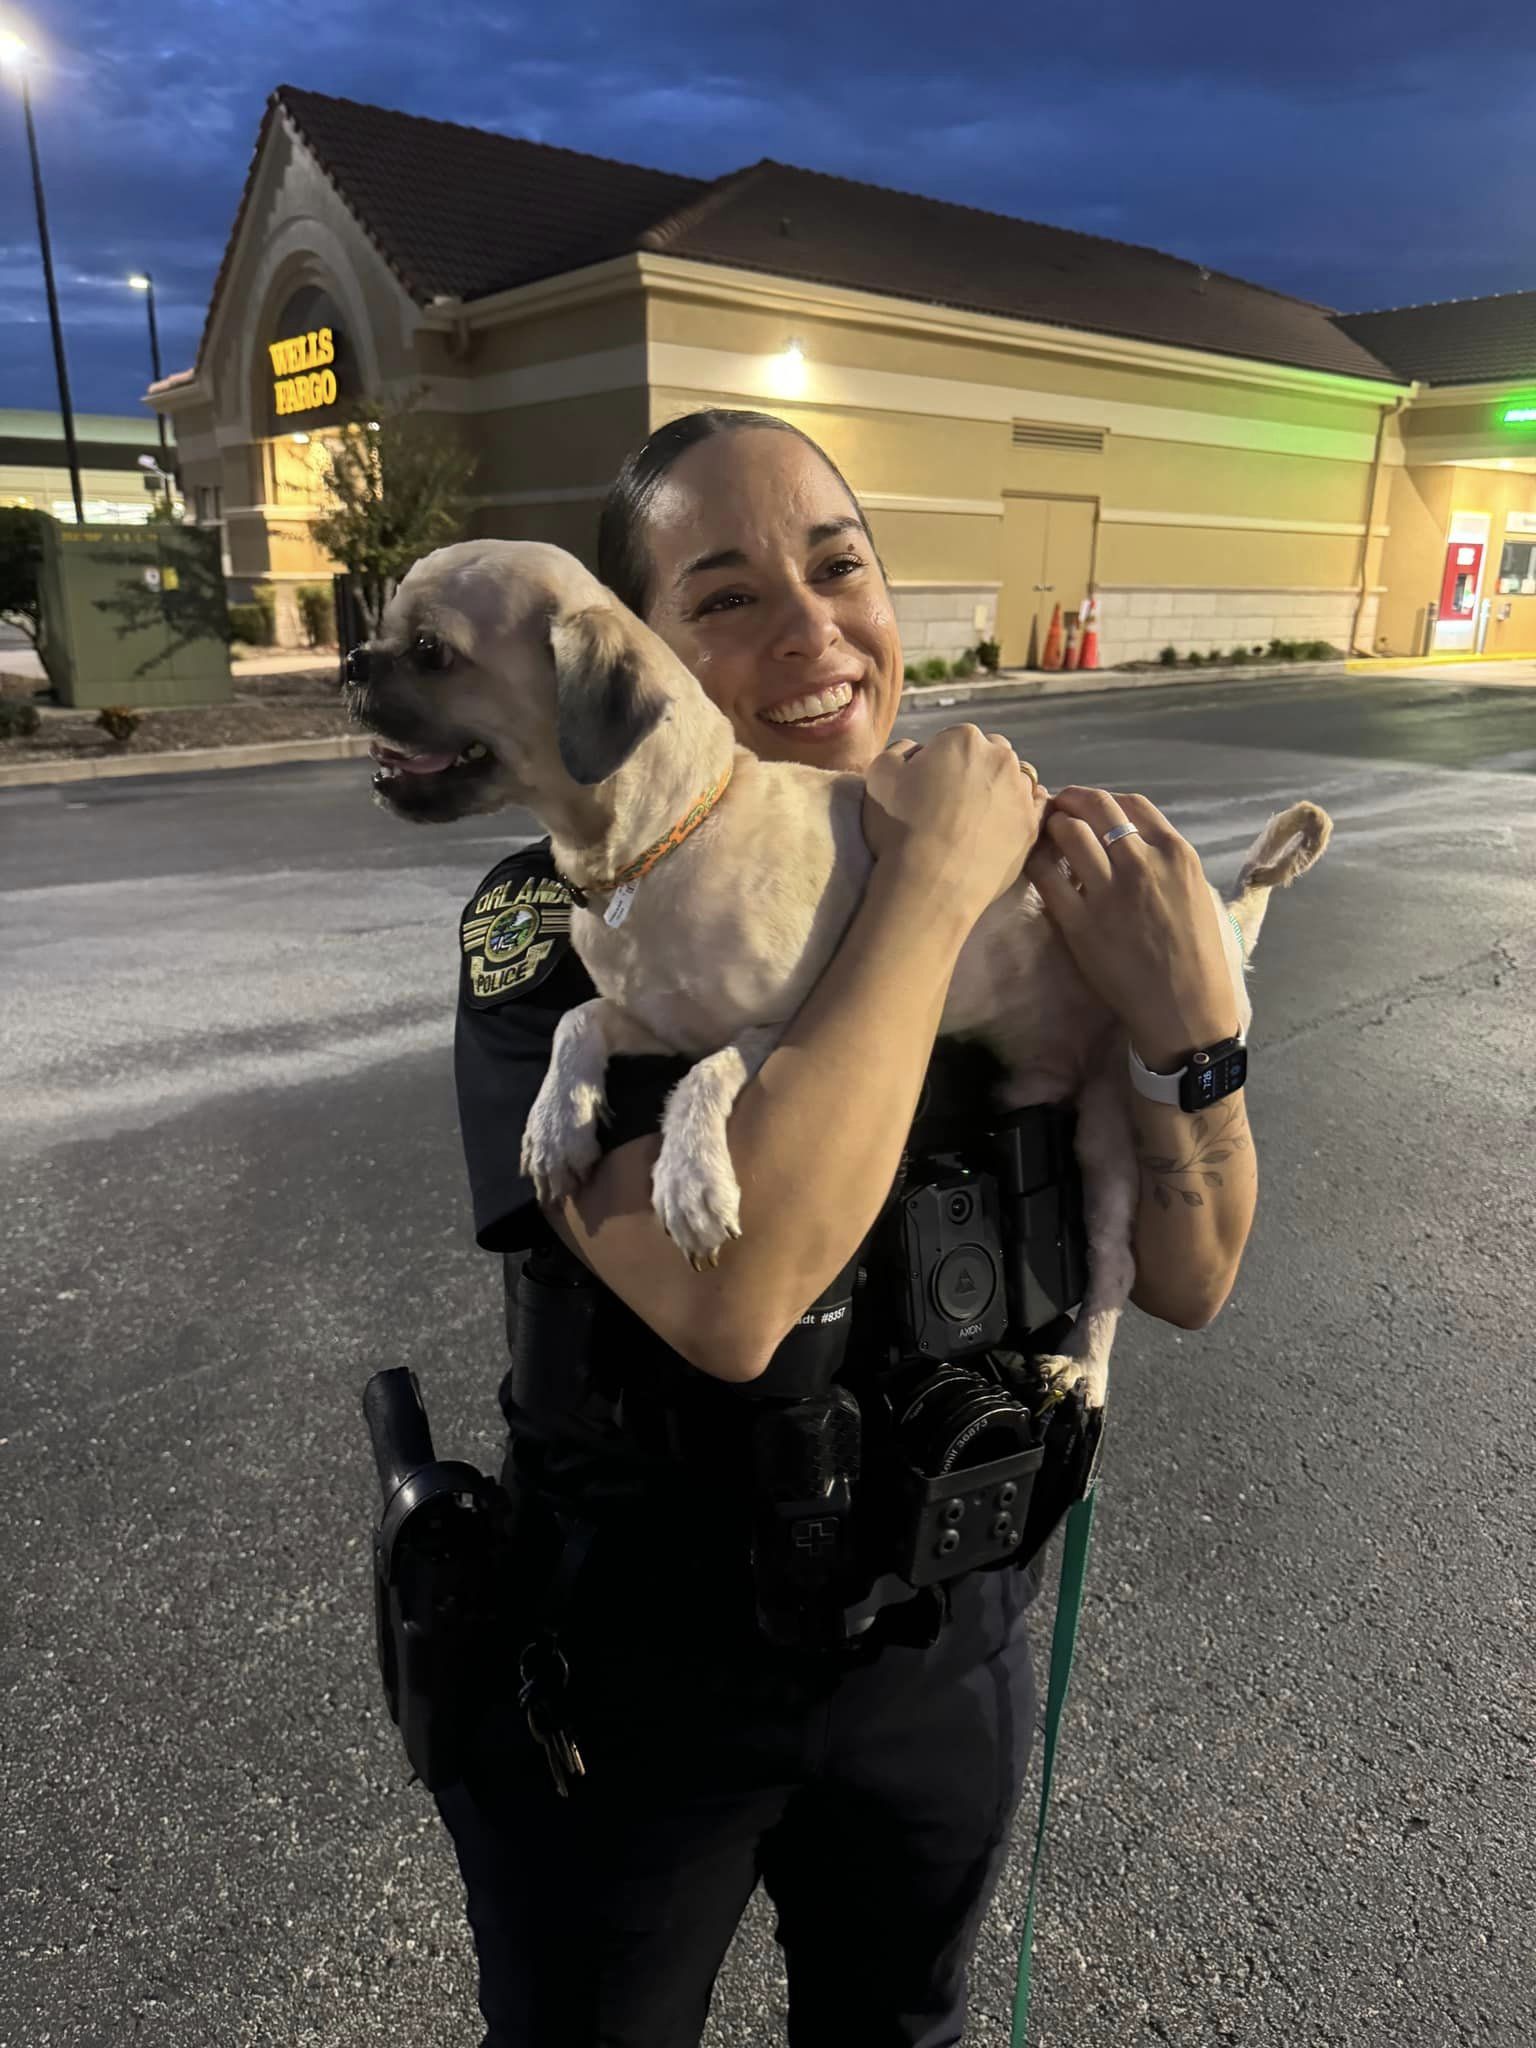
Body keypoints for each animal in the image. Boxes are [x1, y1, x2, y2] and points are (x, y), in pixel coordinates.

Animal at [348, 536, 1335, 1417]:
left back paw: (1084, 1367)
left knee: (1116, 1265)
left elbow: (701, 1081)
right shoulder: (656, 1016)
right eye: (383, 629)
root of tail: (1223, 915)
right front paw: (557, 1123)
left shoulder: (782, 1022)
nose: (352, 661)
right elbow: (575, 1020)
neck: (660, 846)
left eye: (432, 652)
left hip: (1113, 1131)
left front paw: (691, 1182)